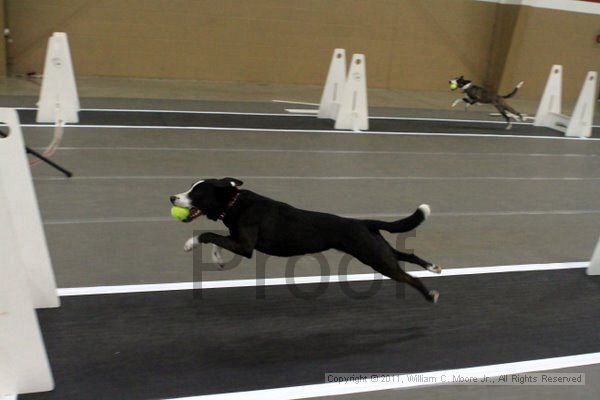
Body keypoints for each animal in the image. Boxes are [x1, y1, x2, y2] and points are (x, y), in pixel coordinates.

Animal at [169, 178, 440, 304]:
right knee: (407, 255)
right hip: (378, 250)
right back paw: (433, 267)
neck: (235, 203)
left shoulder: (245, 246)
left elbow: (208, 234)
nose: (172, 197)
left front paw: (189, 244)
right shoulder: (237, 240)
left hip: (375, 258)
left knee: (408, 277)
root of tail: (365, 223)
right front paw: (217, 259)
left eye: (196, 193)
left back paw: (430, 295)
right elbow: (217, 240)